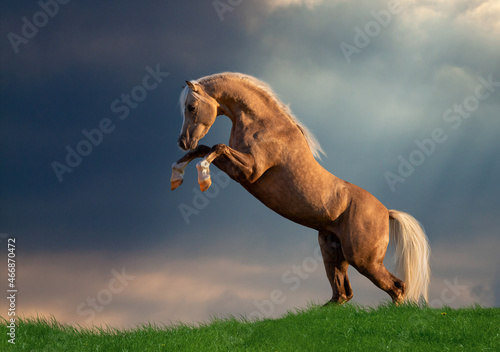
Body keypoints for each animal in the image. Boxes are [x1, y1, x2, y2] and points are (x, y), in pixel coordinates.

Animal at [171, 72, 430, 306]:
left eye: (191, 107)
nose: (182, 141)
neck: (263, 125)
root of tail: (386, 212)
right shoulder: (239, 170)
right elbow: (204, 148)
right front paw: (176, 176)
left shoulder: (250, 171)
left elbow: (216, 148)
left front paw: (204, 179)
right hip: (332, 251)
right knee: (342, 294)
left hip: (364, 259)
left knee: (396, 287)